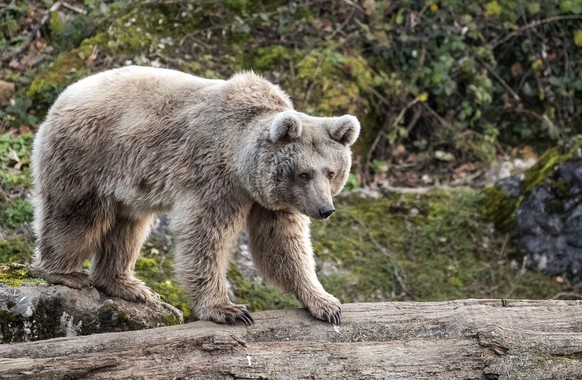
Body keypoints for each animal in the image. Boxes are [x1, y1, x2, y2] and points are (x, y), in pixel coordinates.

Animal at [32, 66, 362, 326]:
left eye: (331, 172)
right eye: (304, 173)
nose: (325, 209)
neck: (240, 162)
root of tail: (66, 92)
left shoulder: (272, 201)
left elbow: (283, 245)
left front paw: (325, 303)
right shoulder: (213, 177)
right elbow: (206, 236)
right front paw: (228, 309)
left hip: (127, 186)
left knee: (128, 228)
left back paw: (127, 285)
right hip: (89, 156)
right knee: (77, 217)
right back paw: (65, 273)